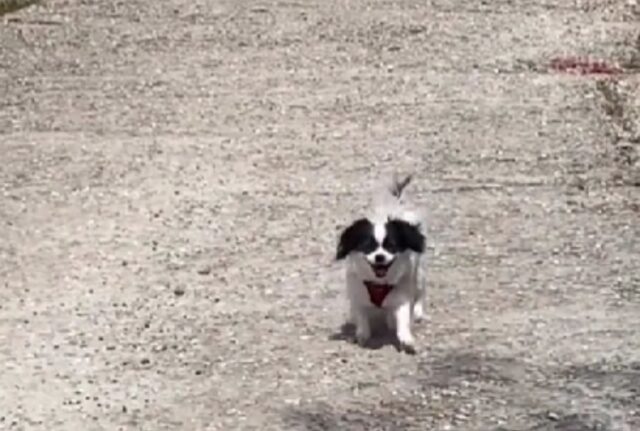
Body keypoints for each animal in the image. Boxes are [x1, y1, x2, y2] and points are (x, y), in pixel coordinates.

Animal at [336, 175, 430, 354]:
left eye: (391, 247)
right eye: (367, 247)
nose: (380, 256)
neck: (379, 283)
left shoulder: (401, 294)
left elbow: (403, 319)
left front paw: (406, 340)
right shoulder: (357, 294)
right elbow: (361, 316)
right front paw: (362, 335)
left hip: (419, 275)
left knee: (420, 293)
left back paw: (417, 312)